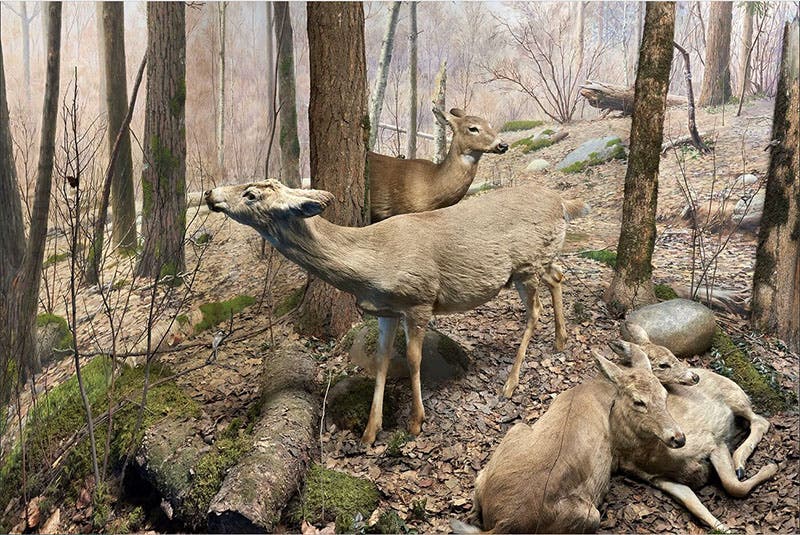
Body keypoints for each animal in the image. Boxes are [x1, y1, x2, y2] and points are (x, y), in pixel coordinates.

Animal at [205, 179, 588, 445]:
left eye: (251, 194)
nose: (210, 192)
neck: (371, 263)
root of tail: (562, 202)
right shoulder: (384, 310)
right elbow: (382, 360)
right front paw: (370, 432)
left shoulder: (419, 299)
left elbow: (415, 358)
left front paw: (417, 421)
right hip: (538, 262)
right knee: (558, 276)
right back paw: (560, 340)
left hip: (525, 265)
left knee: (535, 309)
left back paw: (510, 383)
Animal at [452, 350, 685, 534]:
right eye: (638, 402)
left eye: (665, 395)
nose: (678, 438)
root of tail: (505, 523)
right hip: (590, 515)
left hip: (509, 439)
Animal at [611, 321, 778, 532]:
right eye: (662, 364)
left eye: (673, 353)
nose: (694, 376)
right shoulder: (659, 479)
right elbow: (695, 504)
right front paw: (724, 528)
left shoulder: (711, 440)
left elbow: (732, 485)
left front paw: (771, 467)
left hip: (736, 397)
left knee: (760, 420)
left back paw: (740, 462)